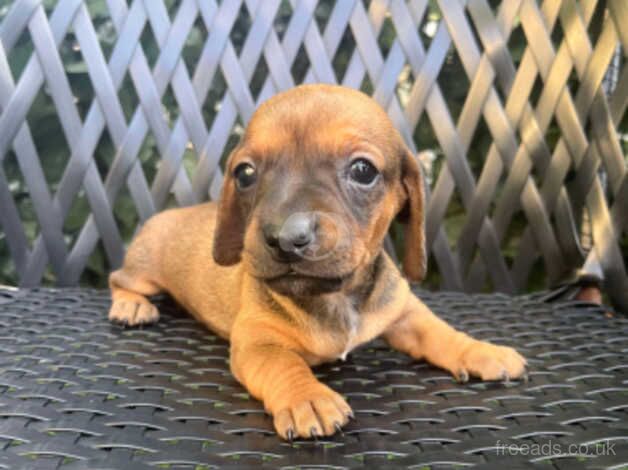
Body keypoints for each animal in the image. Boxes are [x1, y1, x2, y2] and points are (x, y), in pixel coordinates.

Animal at [110, 84, 528, 440]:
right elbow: (284, 364)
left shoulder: (404, 312)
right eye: (245, 173)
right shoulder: (256, 342)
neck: (335, 298)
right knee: (119, 279)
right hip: (144, 273)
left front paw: (481, 350)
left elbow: (442, 332)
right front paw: (307, 398)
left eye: (363, 170)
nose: (285, 238)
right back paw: (132, 306)